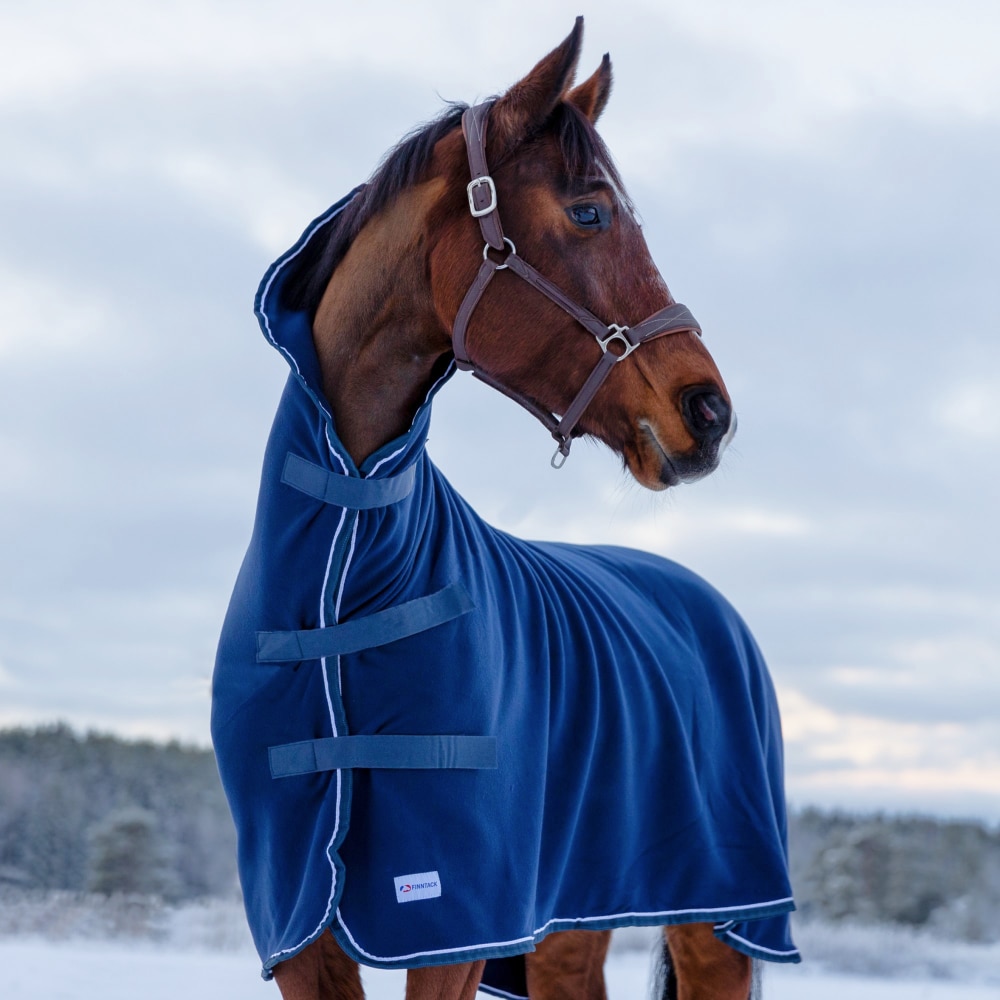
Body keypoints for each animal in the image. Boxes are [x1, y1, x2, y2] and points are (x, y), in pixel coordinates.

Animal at [215, 15, 800, 1000]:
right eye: (590, 211)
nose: (710, 414)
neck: (348, 553)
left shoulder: (453, 924)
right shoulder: (303, 931)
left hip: (720, 924)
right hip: (569, 928)